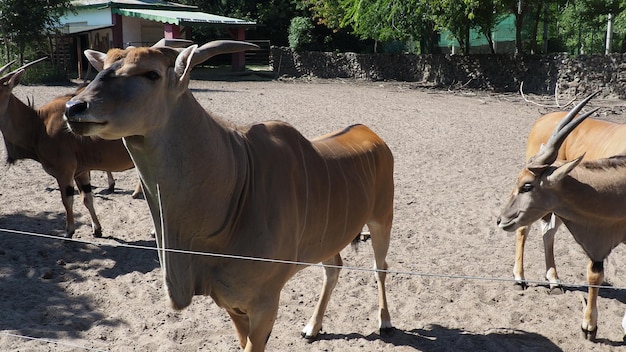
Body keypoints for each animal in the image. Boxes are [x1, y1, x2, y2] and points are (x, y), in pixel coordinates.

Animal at [0, 60, 139, 238]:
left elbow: (67, 200)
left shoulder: (64, 172)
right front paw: (97, 229)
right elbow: (87, 198)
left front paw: (69, 231)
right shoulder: (81, 172)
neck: (39, 123)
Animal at [64, 40, 394, 350]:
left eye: (151, 74)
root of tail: (372, 135)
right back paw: (312, 327)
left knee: (380, 267)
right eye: (103, 66)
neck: (238, 184)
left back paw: (385, 322)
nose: (73, 108)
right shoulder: (230, 304)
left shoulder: (265, 305)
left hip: (382, 221)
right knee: (333, 268)